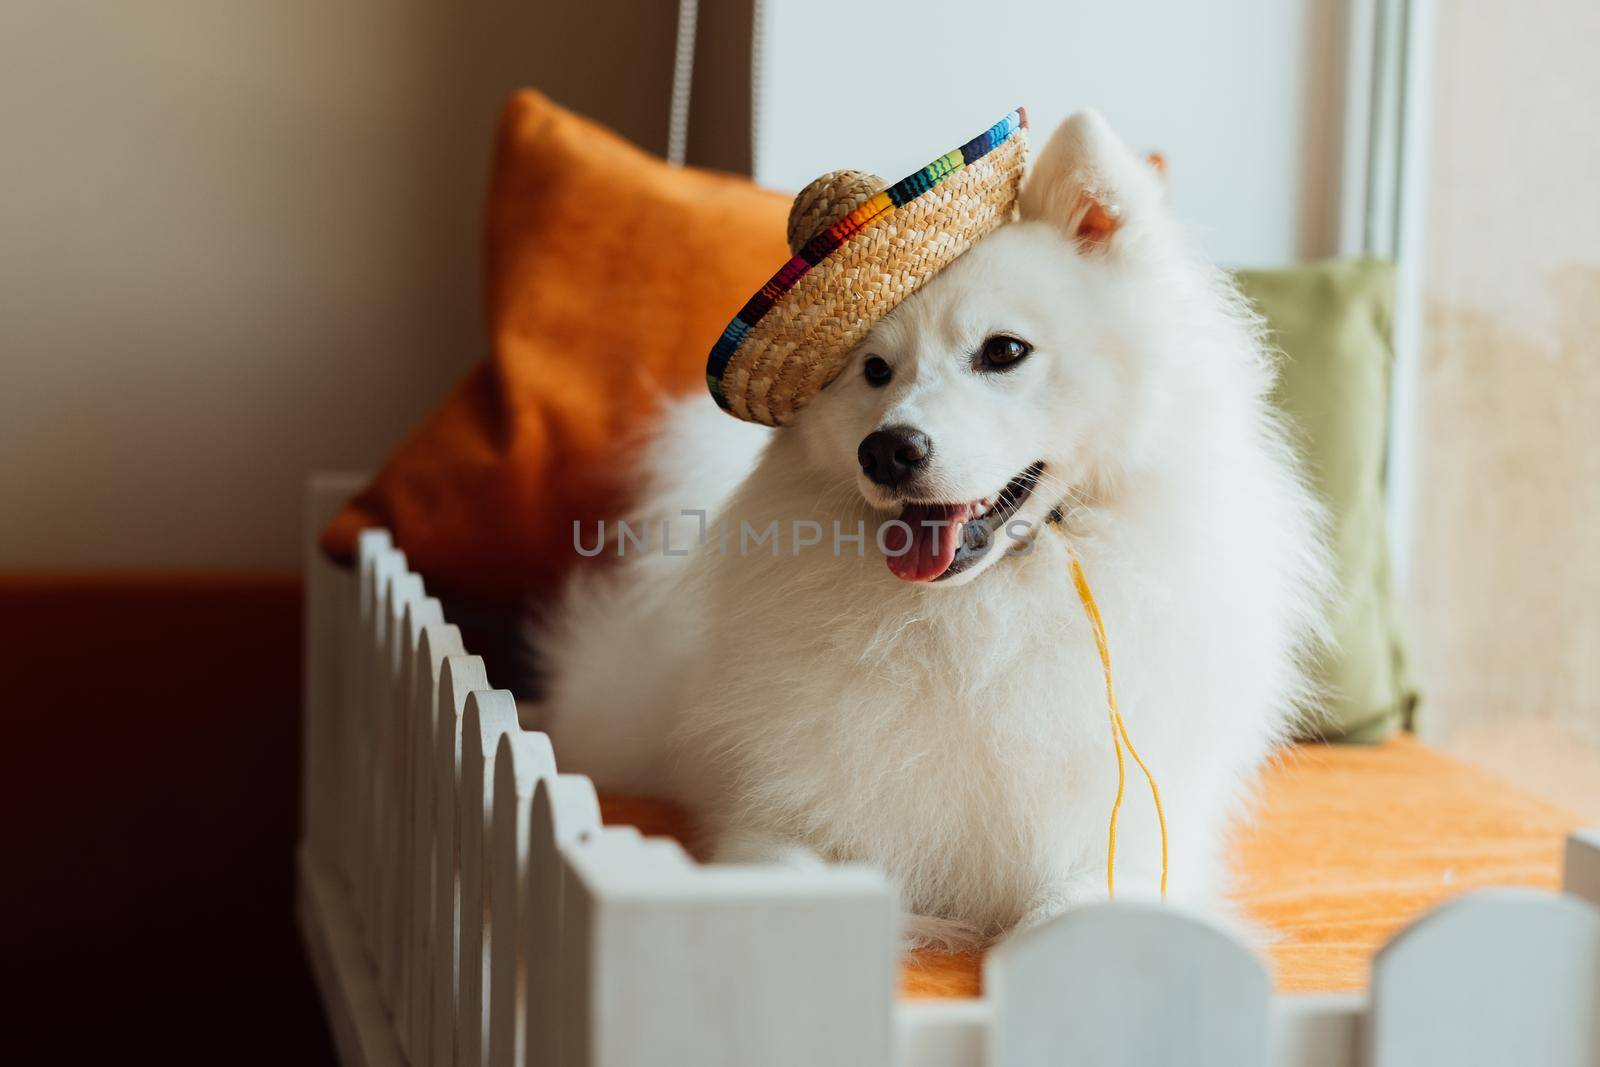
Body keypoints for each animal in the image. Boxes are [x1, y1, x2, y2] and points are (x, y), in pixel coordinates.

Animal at [531, 110, 1331, 940]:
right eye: (875, 371)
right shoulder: (779, 819)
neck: (978, 628)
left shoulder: (1124, 848)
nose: (886, 449)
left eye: (1005, 350)